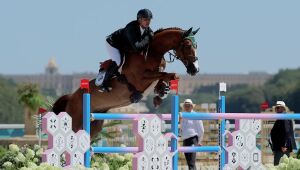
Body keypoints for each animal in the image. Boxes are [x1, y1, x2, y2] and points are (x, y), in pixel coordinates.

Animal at [52, 26, 200, 138]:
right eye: (187, 45)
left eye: (196, 45)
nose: (195, 69)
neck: (152, 53)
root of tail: (71, 97)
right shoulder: (139, 79)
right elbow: (170, 75)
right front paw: (161, 92)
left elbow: (168, 76)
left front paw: (161, 93)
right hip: (75, 123)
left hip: (94, 124)